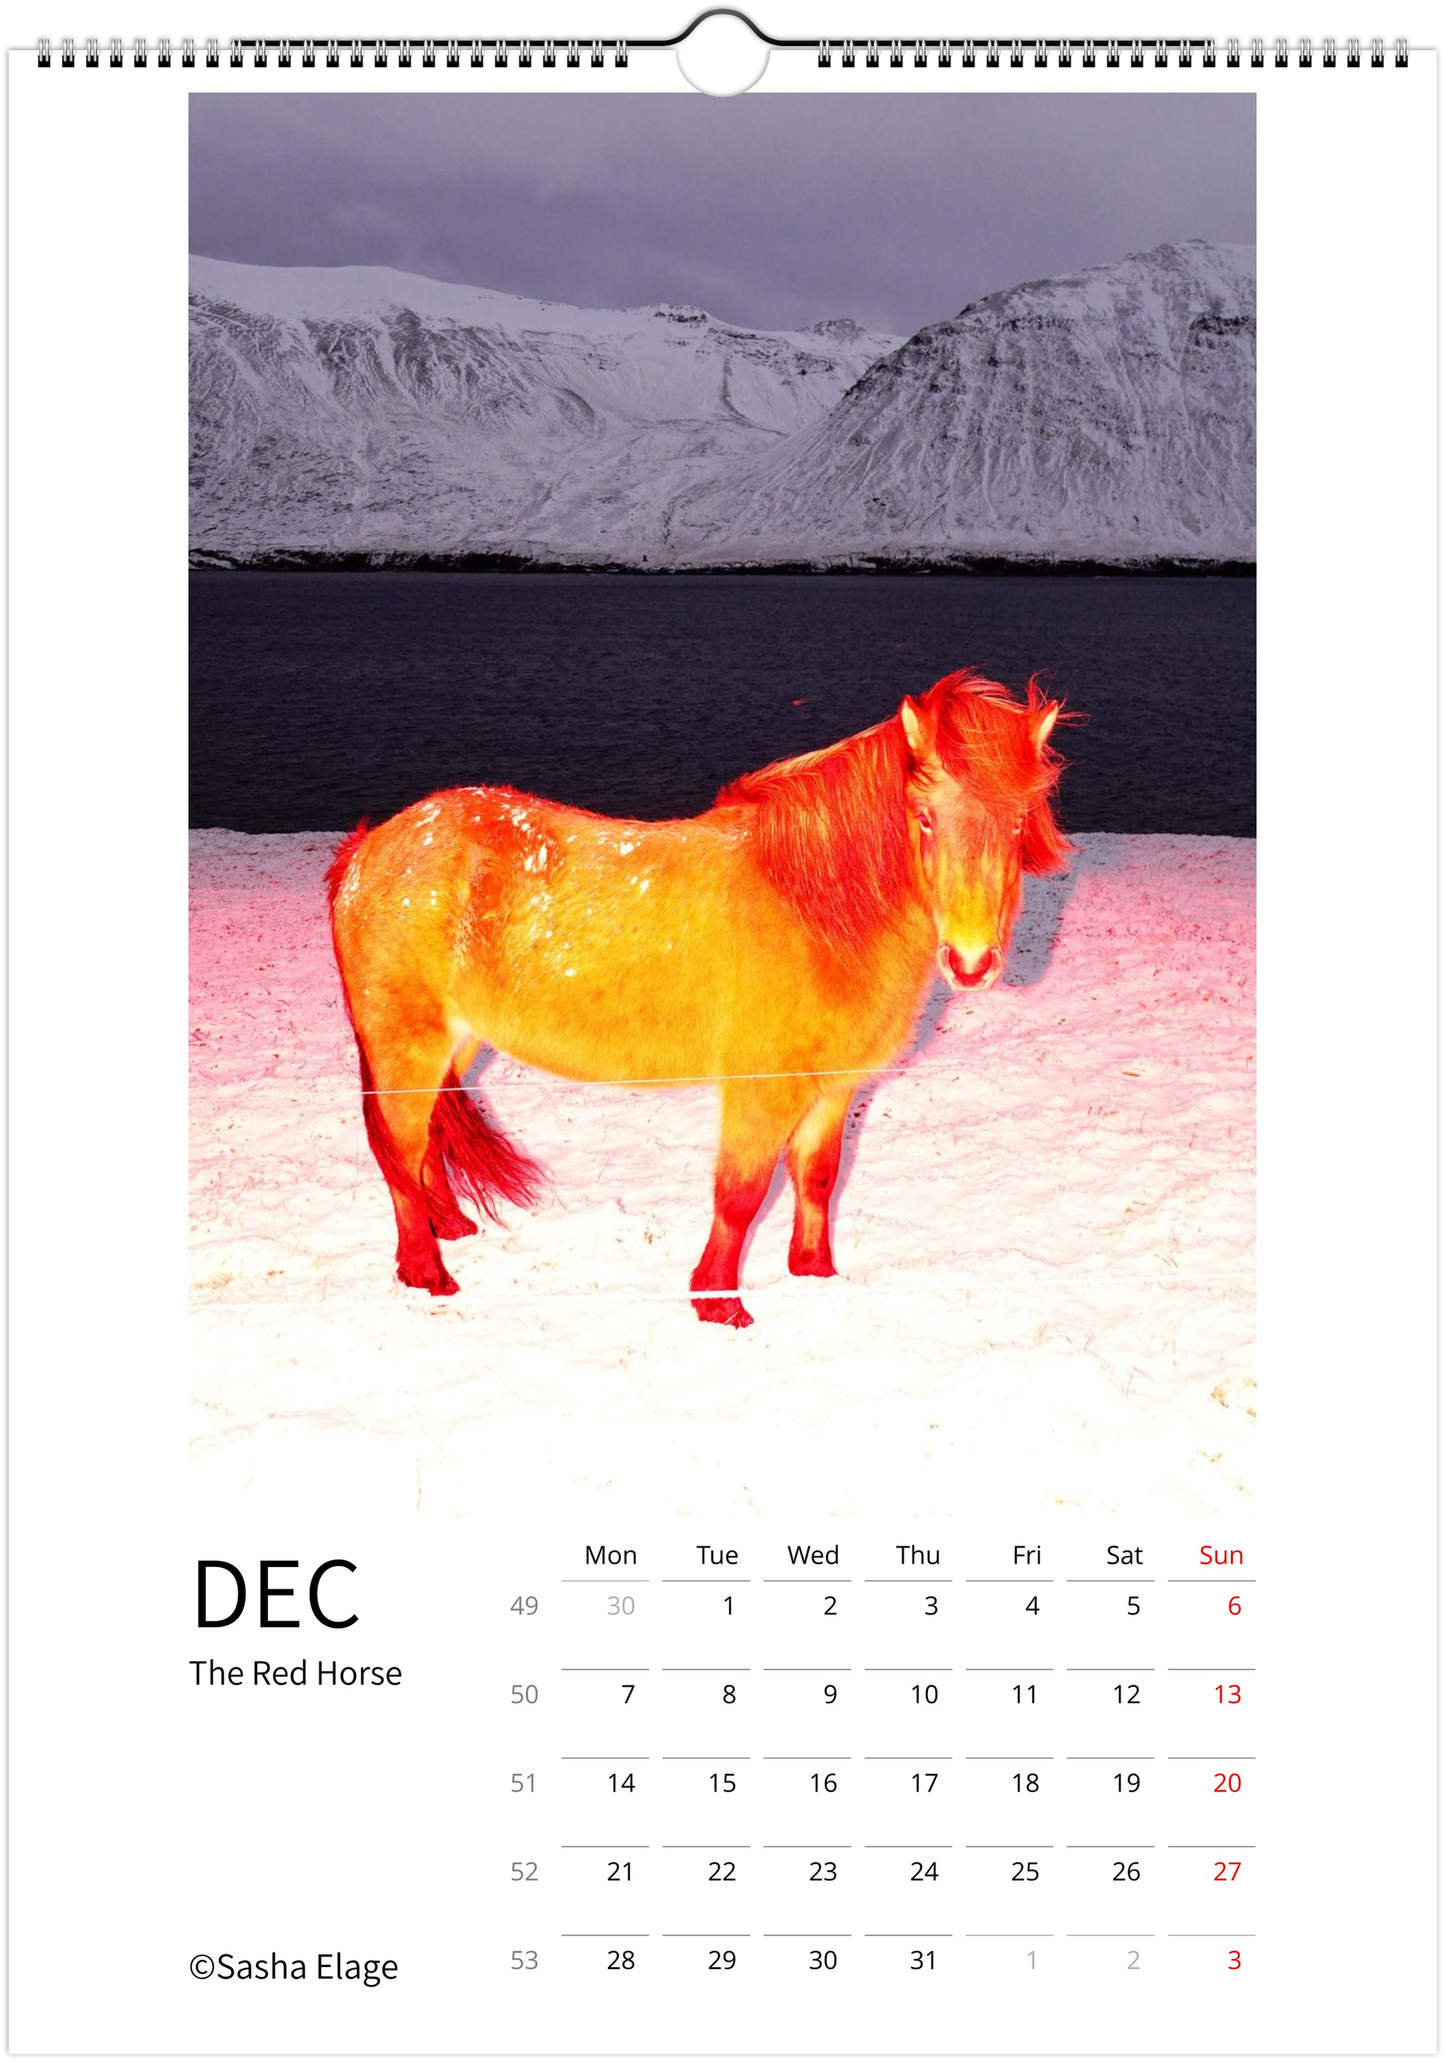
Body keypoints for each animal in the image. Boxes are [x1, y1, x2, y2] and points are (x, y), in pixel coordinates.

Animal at [327, 668, 1073, 1326]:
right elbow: (740, 1195)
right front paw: (718, 1305)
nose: (971, 962)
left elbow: (818, 1178)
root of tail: (371, 847)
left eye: (1017, 822)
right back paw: (427, 1272)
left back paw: (450, 1226)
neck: (815, 907)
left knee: (425, 1141)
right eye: (922, 818)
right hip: (406, 1045)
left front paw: (815, 1275)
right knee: (397, 1150)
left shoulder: (833, 1091)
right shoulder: (761, 1091)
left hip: (454, 1043)